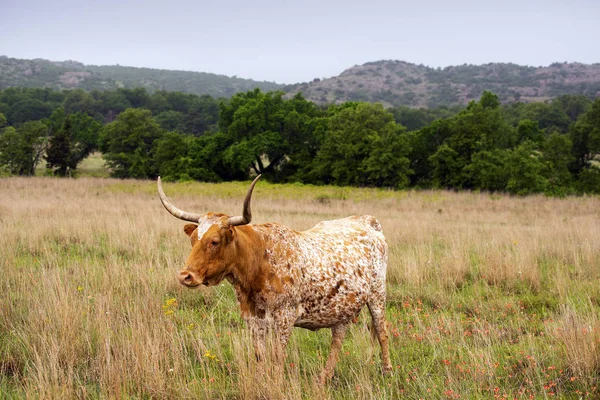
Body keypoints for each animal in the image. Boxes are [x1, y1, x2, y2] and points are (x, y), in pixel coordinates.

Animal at [157, 176, 392, 382]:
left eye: (214, 241)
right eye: (193, 239)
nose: (185, 276)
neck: (259, 262)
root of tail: (367, 221)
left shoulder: (285, 317)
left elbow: (278, 356)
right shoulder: (253, 318)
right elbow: (260, 355)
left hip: (377, 295)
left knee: (381, 331)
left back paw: (387, 371)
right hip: (341, 307)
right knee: (338, 339)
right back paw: (323, 378)